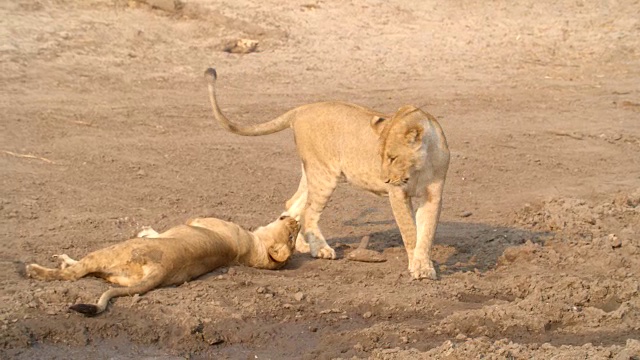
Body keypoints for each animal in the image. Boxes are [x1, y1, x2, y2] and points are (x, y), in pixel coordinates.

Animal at [26, 214, 302, 316]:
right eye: (293, 237)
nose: (296, 221)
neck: (251, 249)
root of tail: (162, 270)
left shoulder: (197, 220)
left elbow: (158, 232)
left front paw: (146, 230)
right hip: (117, 275)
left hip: (113, 251)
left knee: (75, 273)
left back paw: (36, 269)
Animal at [205, 69, 450, 280]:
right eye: (381, 156)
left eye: (392, 158)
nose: (385, 180)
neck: (421, 165)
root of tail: (301, 109)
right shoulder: (397, 193)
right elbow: (410, 232)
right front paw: (417, 267)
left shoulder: (433, 195)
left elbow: (426, 233)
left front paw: (424, 266)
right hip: (324, 174)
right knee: (308, 213)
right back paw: (320, 249)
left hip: (313, 172)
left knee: (295, 203)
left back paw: (302, 244)